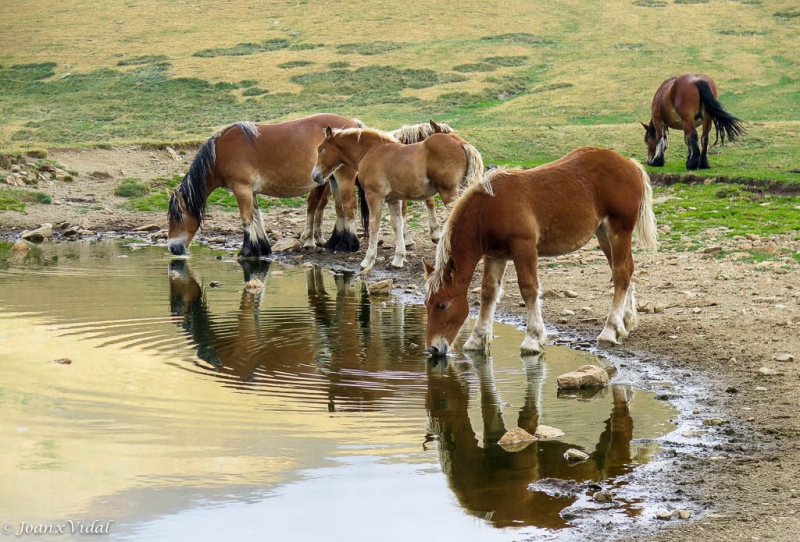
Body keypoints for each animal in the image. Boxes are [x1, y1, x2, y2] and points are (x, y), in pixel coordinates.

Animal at [169, 113, 362, 260]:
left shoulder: (242, 188)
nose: (172, 248)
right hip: (333, 179)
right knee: (339, 208)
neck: (220, 154)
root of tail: (353, 124)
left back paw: (348, 245)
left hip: (343, 177)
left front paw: (247, 250)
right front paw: (262, 247)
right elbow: (257, 216)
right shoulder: (250, 191)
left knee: (348, 206)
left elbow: (246, 218)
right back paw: (333, 243)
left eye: (179, 217)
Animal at [310, 126, 484, 272]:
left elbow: (374, 225)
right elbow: (397, 224)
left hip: (450, 193)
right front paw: (398, 259)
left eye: (320, 149)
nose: (315, 175)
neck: (370, 152)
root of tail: (461, 142)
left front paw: (368, 260)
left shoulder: (374, 196)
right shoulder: (394, 199)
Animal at [424, 147, 656, 356]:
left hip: (618, 230)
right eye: (427, 304)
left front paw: (532, 339)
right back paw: (625, 322)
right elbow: (488, 292)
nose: (433, 349)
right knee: (625, 269)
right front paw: (477, 339)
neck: (488, 209)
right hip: (603, 234)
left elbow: (529, 289)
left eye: (443, 305)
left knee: (621, 272)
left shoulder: (524, 247)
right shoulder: (495, 256)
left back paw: (609, 330)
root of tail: (629, 164)